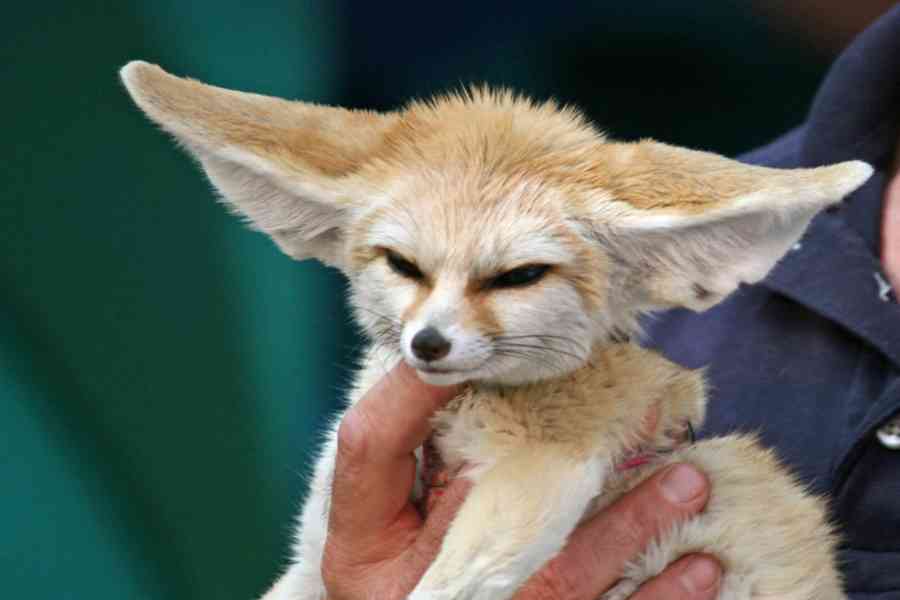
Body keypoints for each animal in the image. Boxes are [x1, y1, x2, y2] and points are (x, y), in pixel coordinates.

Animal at [121, 61, 873, 600]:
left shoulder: (548, 470)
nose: (428, 344)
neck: (463, 411)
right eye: (404, 265)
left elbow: (441, 590)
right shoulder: (317, 546)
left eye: (519, 277)